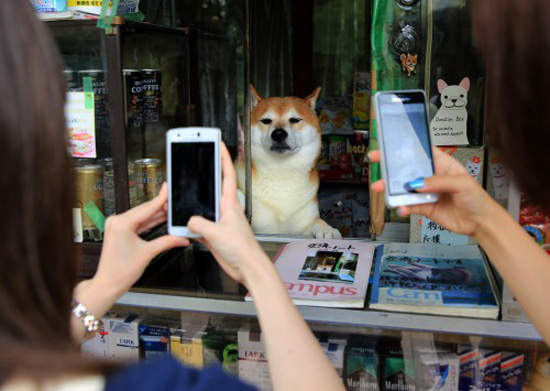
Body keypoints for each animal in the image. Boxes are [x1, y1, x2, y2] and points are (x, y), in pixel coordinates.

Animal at [237, 85, 340, 239]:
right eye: (266, 121)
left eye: (295, 120)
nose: (279, 133)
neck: (282, 175)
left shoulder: (302, 227)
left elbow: (317, 222)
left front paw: (328, 229)